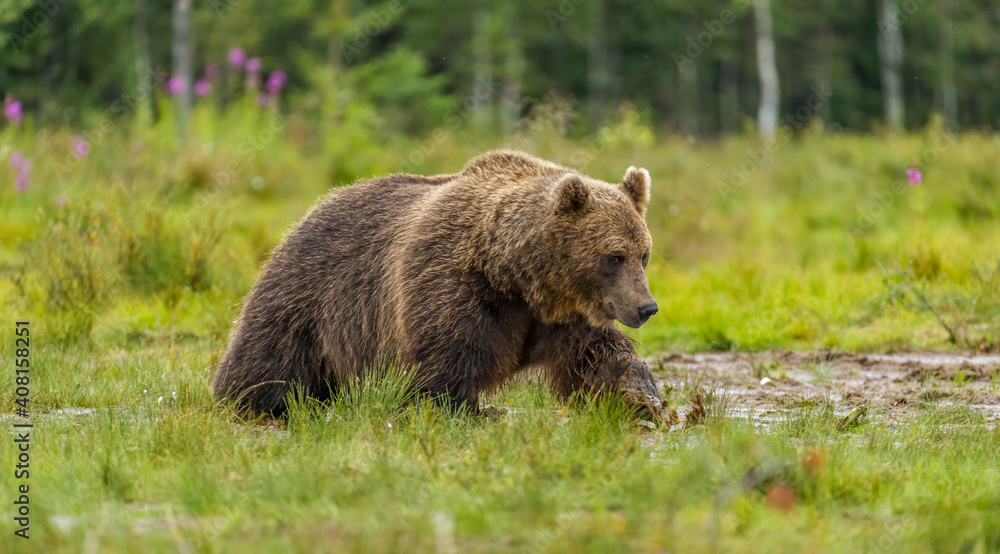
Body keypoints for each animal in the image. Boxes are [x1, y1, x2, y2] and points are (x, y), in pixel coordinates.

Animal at [211, 149, 664, 416]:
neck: (517, 278)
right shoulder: (452, 283)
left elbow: (597, 355)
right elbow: (445, 359)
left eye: (643, 254)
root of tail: (310, 210)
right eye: (614, 256)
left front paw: (640, 398)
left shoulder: (565, 314)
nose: (646, 308)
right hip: (310, 295)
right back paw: (248, 398)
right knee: (270, 357)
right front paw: (463, 408)